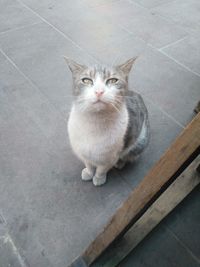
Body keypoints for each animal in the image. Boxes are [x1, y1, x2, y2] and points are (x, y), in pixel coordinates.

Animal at [65, 57, 150, 186]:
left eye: (113, 80)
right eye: (86, 80)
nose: (99, 91)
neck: (95, 122)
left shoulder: (110, 157)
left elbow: (101, 169)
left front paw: (99, 178)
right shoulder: (83, 151)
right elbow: (88, 164)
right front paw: (89, 173)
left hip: (140, 142)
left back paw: (120, 164)